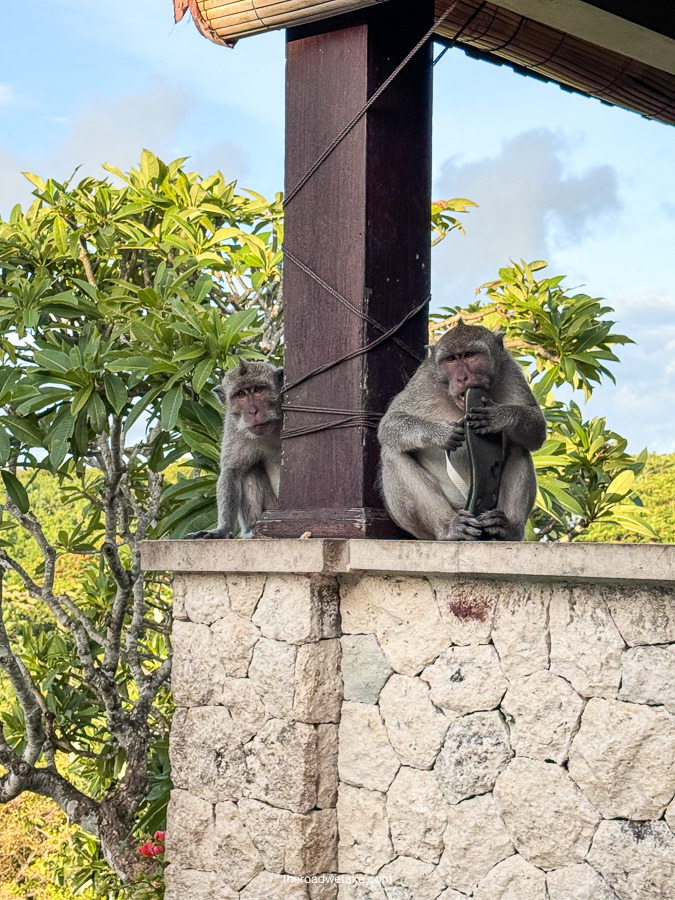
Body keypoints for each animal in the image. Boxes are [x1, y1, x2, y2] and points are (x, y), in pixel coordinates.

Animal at [185, 358, 282, 540]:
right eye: (241, 394)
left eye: (258, 390)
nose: (253, 411)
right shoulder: (234, 426)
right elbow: (233, 471)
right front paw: (222, 530)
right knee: (250, 470)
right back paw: (252, 530)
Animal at [378, 318, 548, 540]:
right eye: (450, 359)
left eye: (470, 355)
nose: (462, 378)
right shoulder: (424, 381)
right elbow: (390, 423)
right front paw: (440, 433)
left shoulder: (511, 373)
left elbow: (537, 428)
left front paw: (500, 417)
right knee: (392, 452)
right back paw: (450, 528)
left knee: (519, 447)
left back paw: (507, 529)